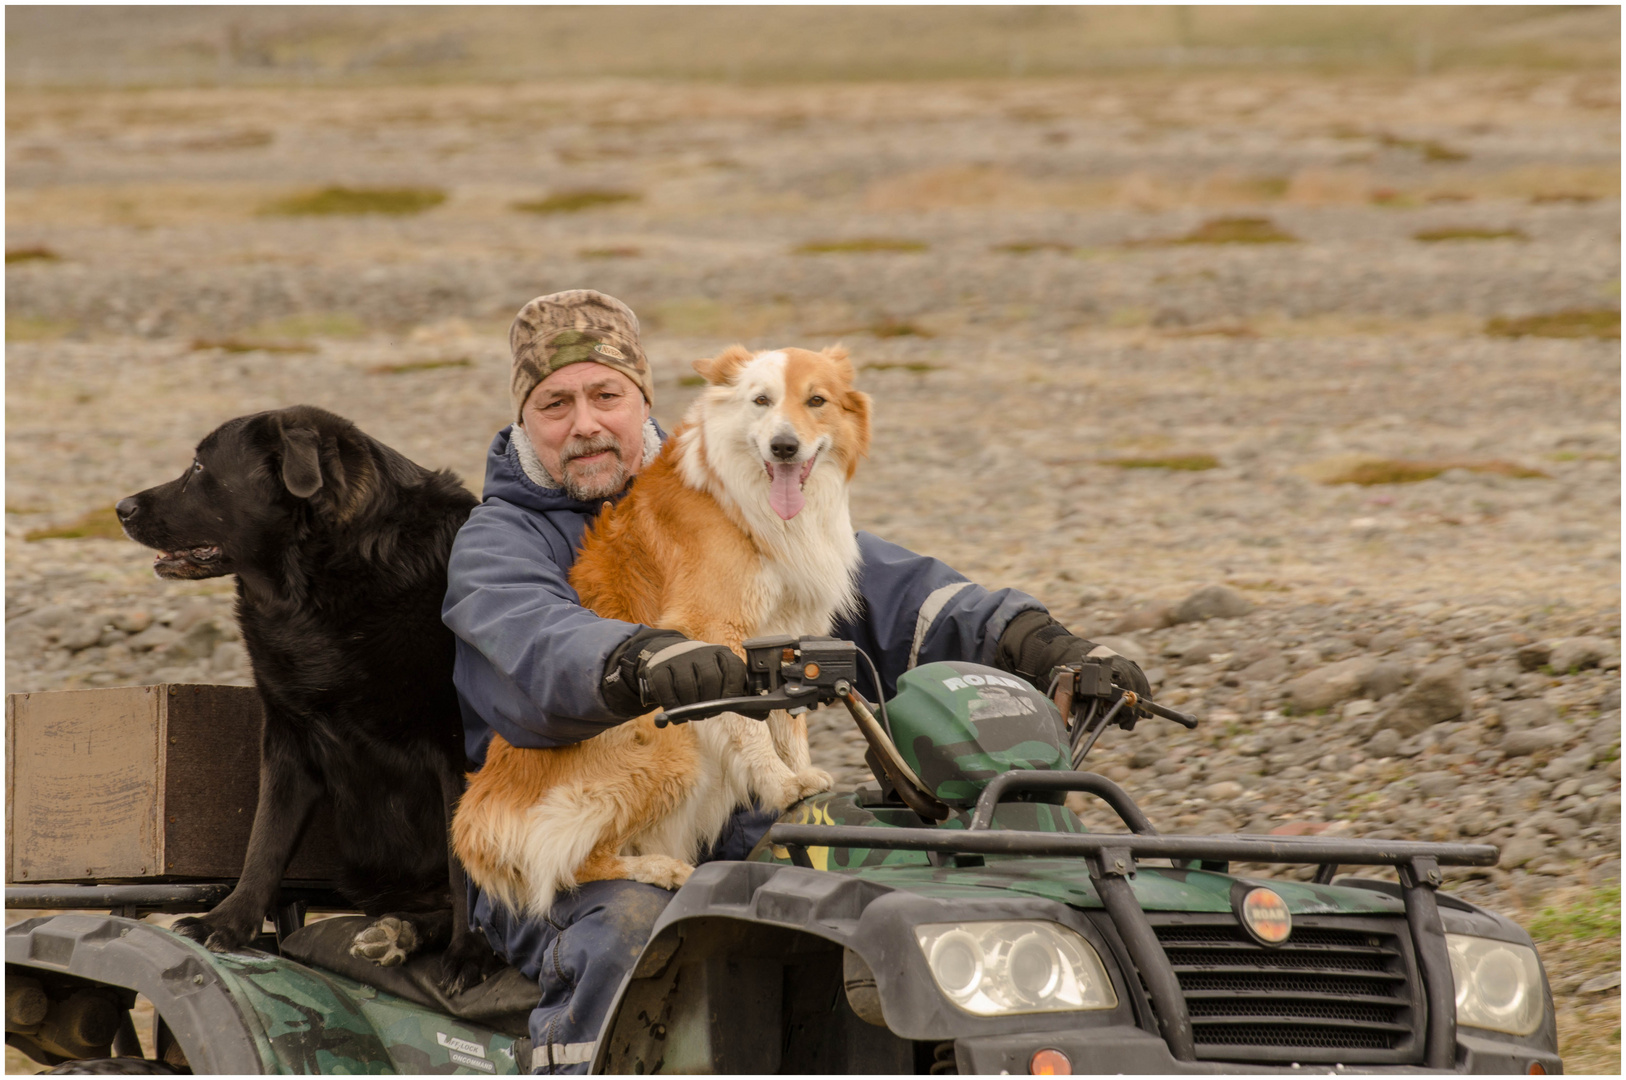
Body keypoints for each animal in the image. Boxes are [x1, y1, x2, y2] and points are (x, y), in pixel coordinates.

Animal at [118, 403, 497, 988]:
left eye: (200, 467)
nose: (121, 508)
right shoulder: (287, 737)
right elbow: (266, 839)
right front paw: (227, 922)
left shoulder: (460, 747)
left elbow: (469, 871)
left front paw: (471, 953)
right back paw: (398, 931)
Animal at [452, 341, 871, 917]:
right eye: (761, 400)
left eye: (817, 400)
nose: (784, 447)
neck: (745, 502)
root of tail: (479, 808)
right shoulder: (714, 631)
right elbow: (749, 721)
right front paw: (780, 785)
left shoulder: (787, 632)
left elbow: (789, 718)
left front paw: (802, 780)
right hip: (671, 749)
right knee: (570, 865)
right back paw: (661, 868)